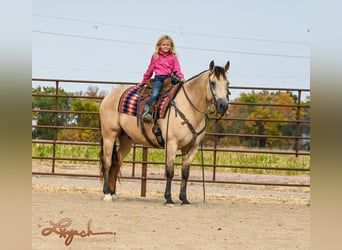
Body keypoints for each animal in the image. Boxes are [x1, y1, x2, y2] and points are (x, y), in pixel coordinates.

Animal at [100, 60, 231, 205]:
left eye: (227, 83)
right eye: (212, 83)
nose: (223, 106)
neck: (189, 108)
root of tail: (108, 97)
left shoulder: (192, 148)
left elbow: (185, 174)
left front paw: (184, 199)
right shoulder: (171, 144)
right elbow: (170, 172)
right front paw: (168, 198)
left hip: (125, 139)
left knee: (117, 162)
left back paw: (113, 193)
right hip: (109, 136)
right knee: (107, 162)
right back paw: (106, 193)